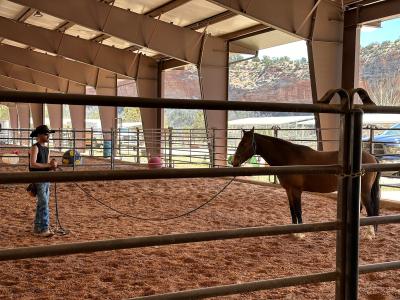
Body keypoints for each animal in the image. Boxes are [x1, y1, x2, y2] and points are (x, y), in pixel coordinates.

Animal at [233, 128, 380, 239]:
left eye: (244, 144)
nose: (234, 162)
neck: (289, 157)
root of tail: (373, 157)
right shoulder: (288, 190)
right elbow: (292, 210)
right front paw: (293, 231)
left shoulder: (297, 190)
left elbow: (298, 210)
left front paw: (300, 233)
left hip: (364, 191)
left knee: (370, 209)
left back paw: (370, 234)